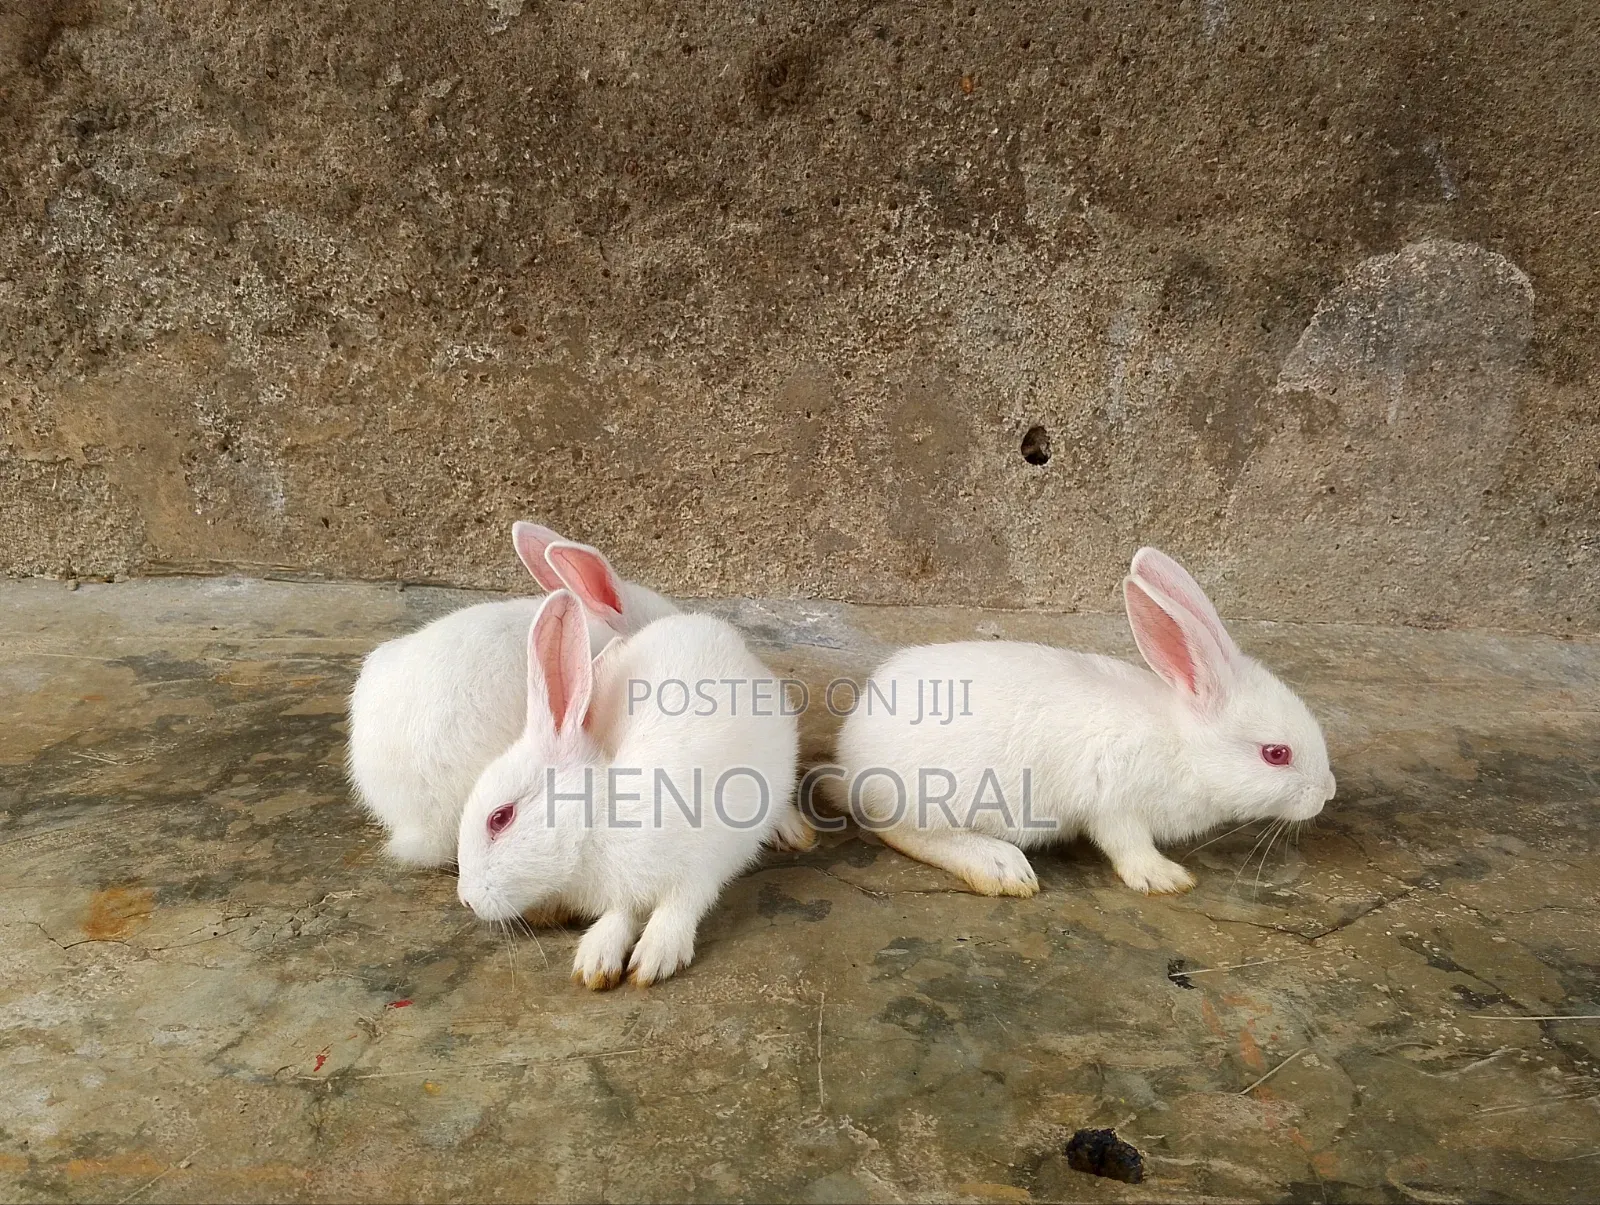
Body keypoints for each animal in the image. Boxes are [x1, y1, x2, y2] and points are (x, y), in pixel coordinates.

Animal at [455, 588, 803, 989]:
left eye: (500, 818)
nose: (466, 900)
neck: (596, 817)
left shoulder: (705, 860)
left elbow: (683, 902)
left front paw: (655, 957)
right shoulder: (625, 888)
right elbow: (622, 912)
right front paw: (596, 960)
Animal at [832, 547, 1335, 896]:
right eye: (1276, 754)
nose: (1327, 793)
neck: (1183, 745)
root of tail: (851, 758)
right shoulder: (1115, 806)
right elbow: (1128, 847)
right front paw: (1165, 878)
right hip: (939, 798)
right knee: (901, 832)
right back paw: (1002, 867)